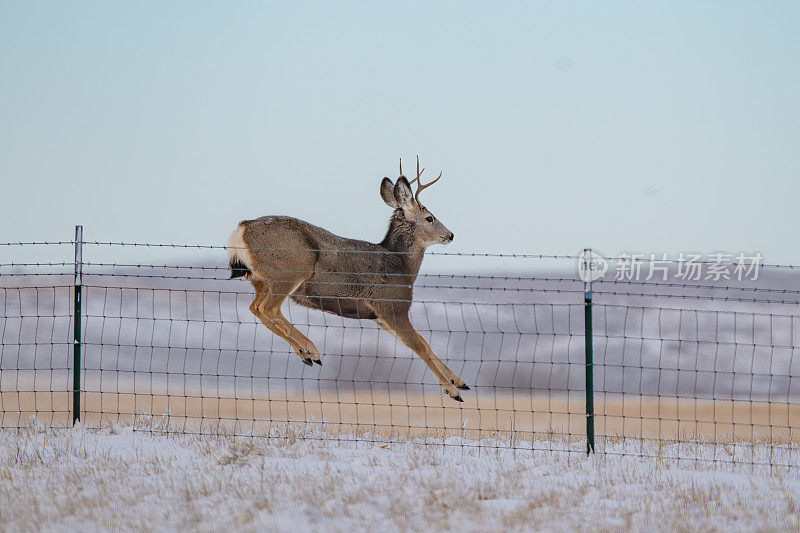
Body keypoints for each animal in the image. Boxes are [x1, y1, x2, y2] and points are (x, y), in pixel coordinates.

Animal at [227, 157, 468, 400]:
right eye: (430, 218)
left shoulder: (380, 318)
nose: (450, 235)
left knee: (256, 308)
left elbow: (424, 343)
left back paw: (306, 353)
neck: (401, 266)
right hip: (290, 271)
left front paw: (459, 381)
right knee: (269, 309)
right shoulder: (391, 306)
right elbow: (419, 345)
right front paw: (451, 390)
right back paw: (311, 350)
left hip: (261, 279)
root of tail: (242, 228)